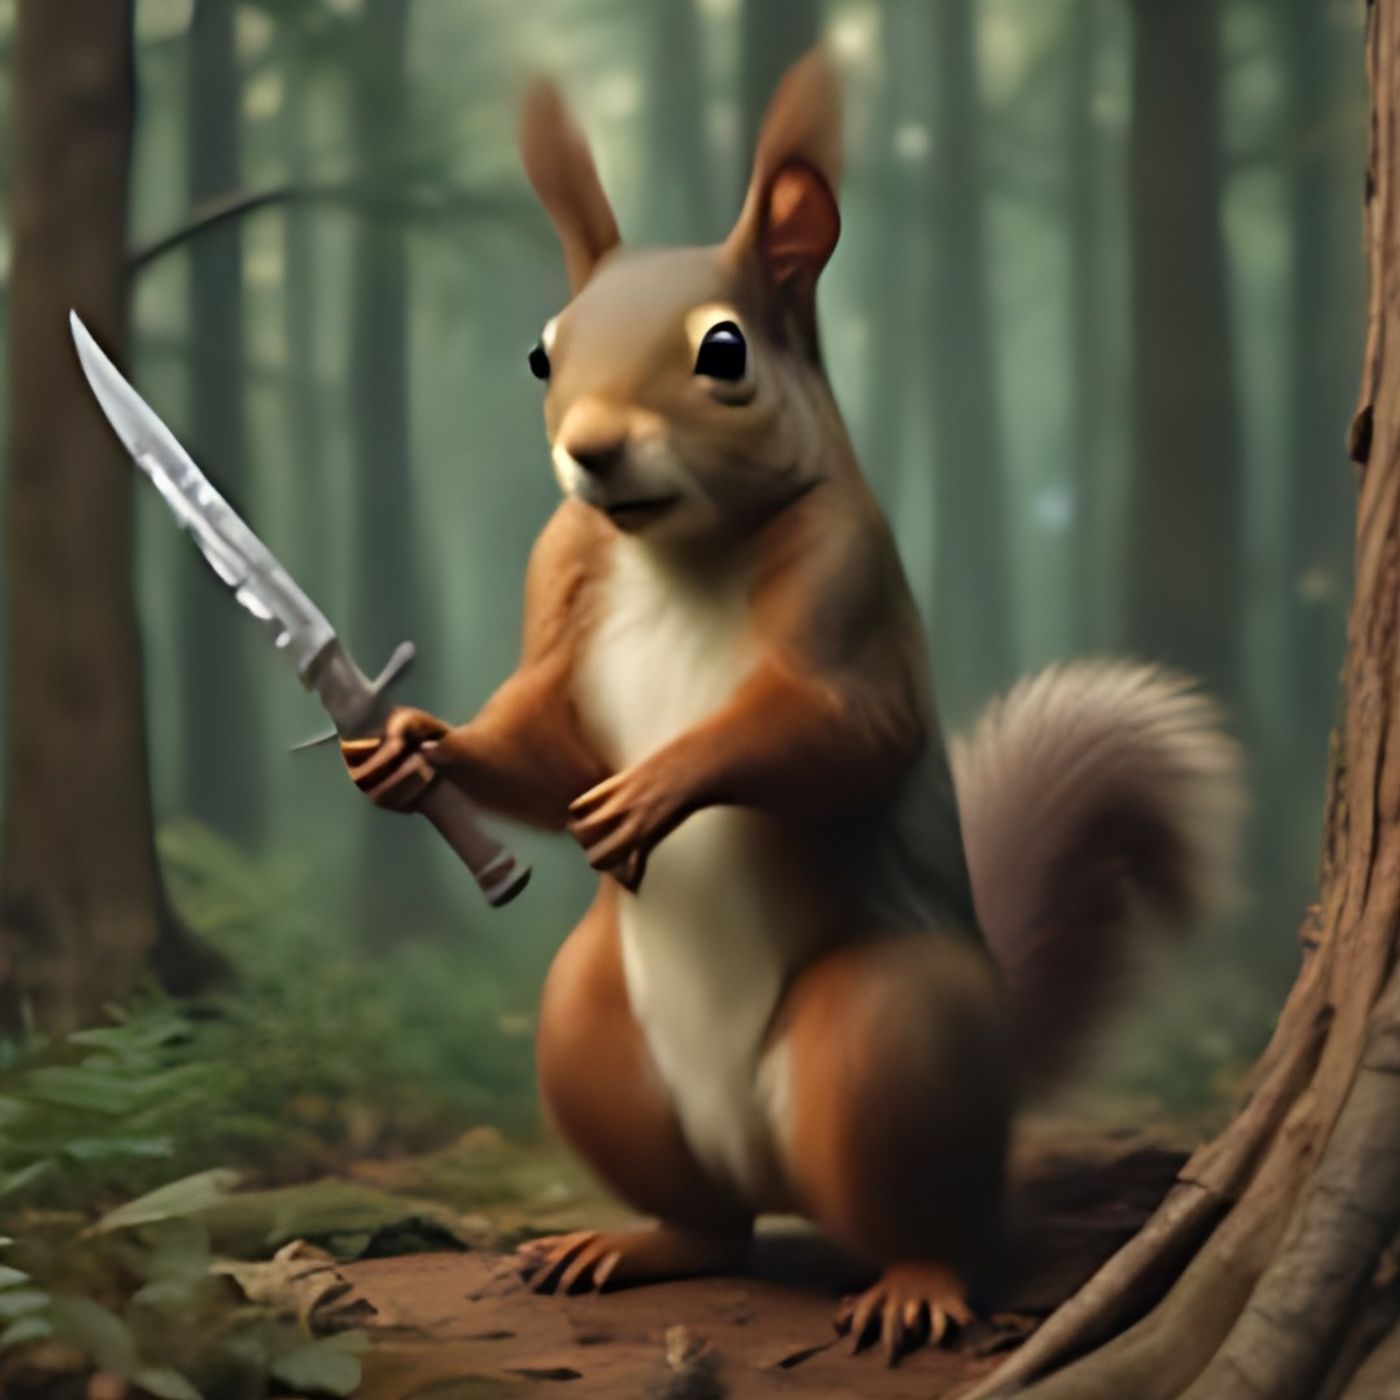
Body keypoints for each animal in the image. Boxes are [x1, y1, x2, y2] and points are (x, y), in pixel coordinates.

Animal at [343, 50, 1245, 1362]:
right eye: (541, 354)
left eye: (724, 352)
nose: (590, 450)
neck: (671, 545)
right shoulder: (555, 586)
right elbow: (541, 747)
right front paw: (415, 746)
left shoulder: (850, 588)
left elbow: (835, 733)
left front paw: (652, 790)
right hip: (591, 1028)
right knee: (710, 1224)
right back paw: (629, 1242)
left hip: (884, 1037)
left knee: (928, 1213)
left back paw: (912, 1284)